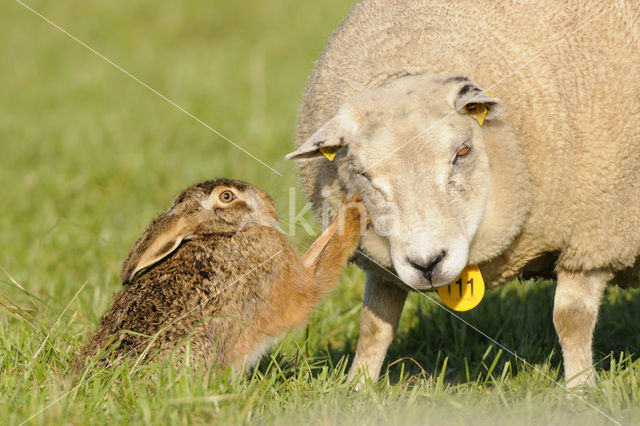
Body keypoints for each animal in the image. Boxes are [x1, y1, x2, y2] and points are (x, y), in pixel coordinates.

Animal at [286, 0, 640, 388]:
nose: (427, 264)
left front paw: (579, 388)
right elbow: (374, 325)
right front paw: (358, 385)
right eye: (362, 174)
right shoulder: (384, 267)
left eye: (463, 152)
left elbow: (571, 319)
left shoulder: (596, 238)